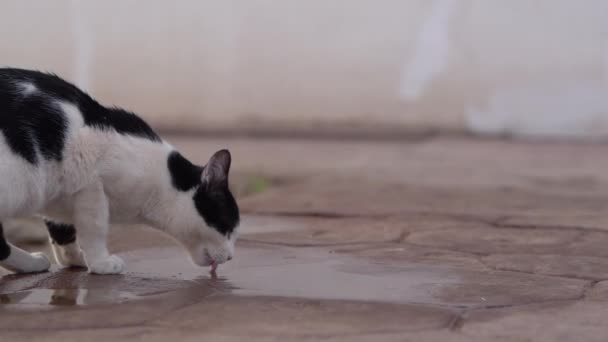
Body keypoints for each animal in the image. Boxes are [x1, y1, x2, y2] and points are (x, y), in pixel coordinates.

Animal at [0, 68, 240, 274]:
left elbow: (63, 232)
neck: (161, 180)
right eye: (227, 227)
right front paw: (100, 263)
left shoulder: (58, 198)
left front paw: (75, 259)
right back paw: (32, 264)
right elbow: (94, 228)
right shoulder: (91, 184)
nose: (230, 257)